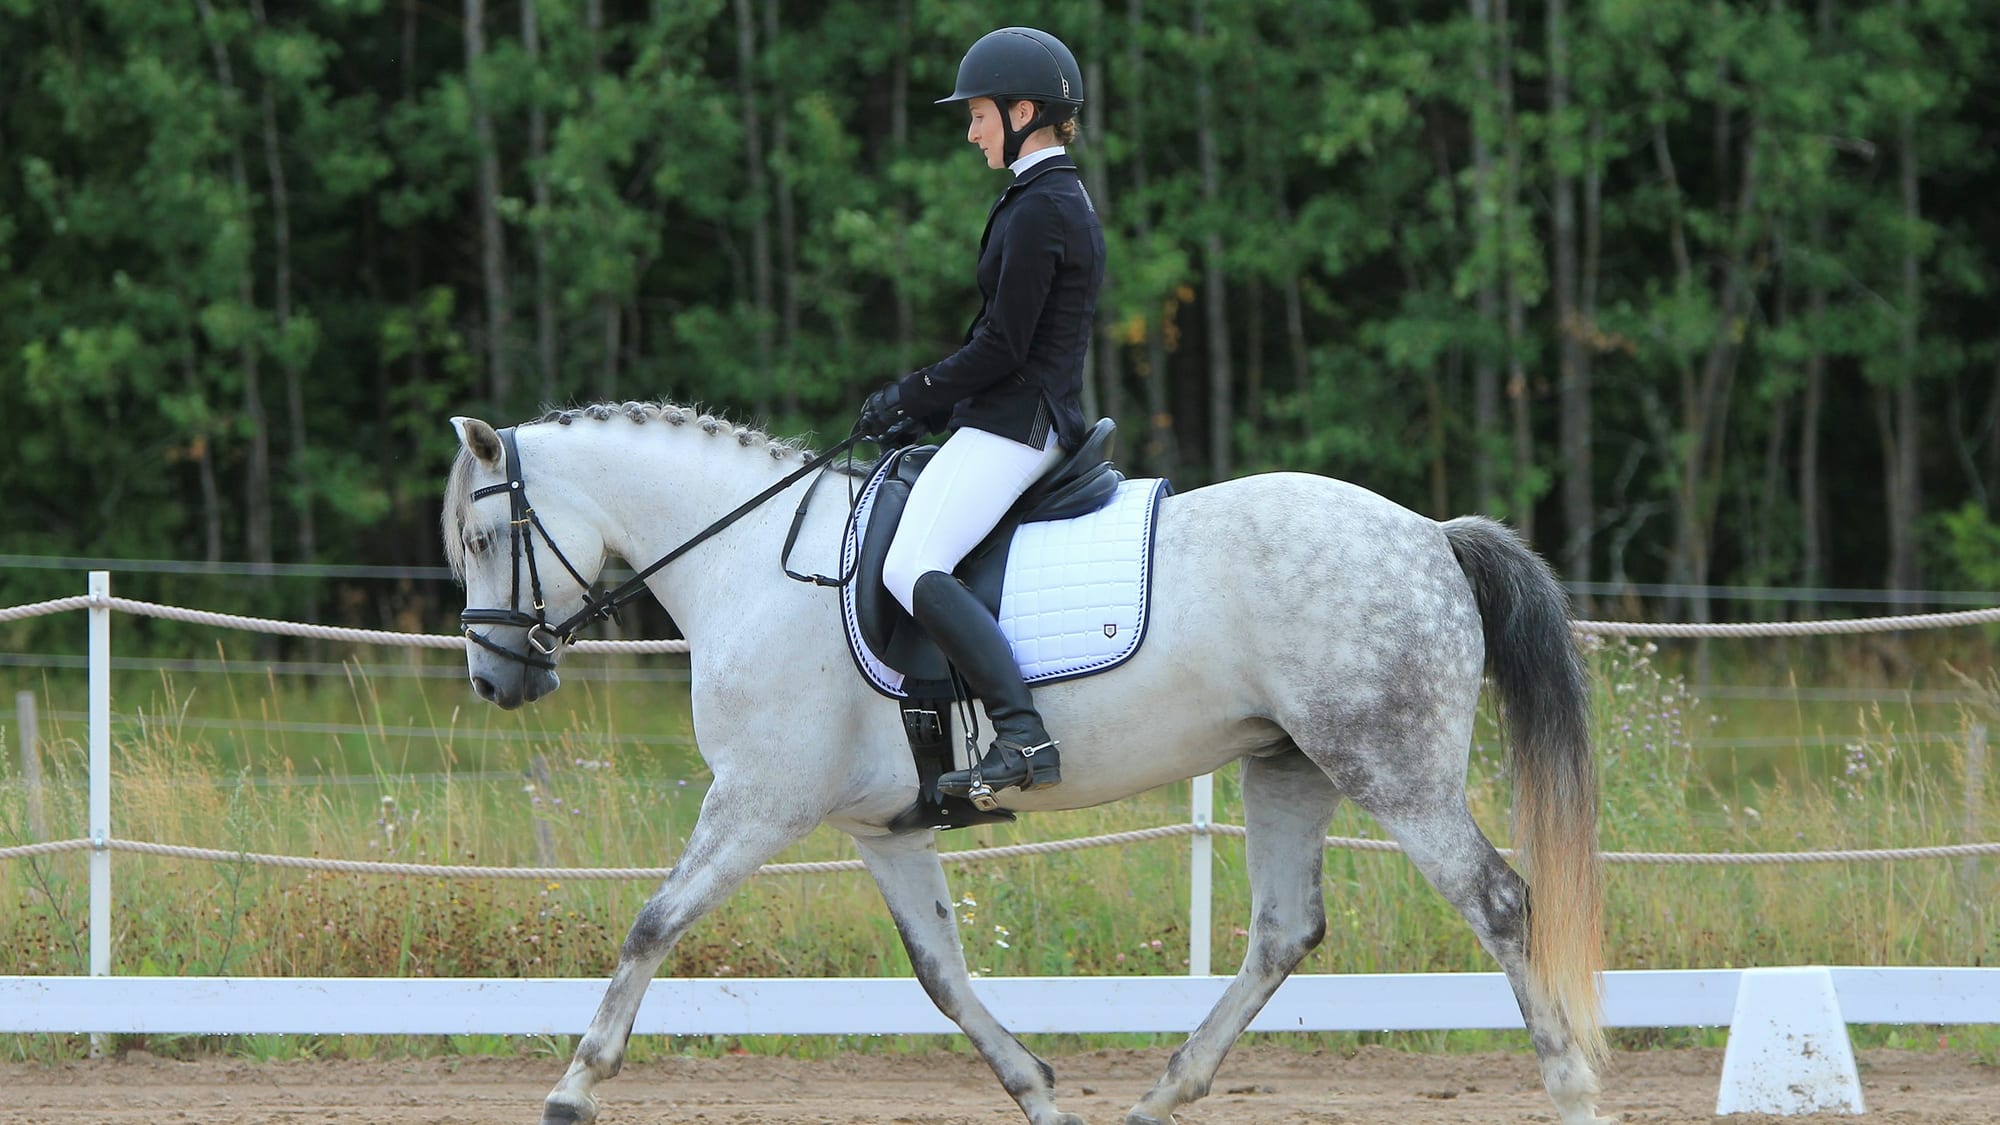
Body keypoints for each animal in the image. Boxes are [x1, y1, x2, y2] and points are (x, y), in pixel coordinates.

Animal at [440, 401, 1612, 1125]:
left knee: (1500, 903)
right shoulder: (882, 828)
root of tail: (1430, 533)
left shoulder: (758, 804)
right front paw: (1040, 1090)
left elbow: (652, 922)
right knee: (1284, 932)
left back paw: (1572, 1091)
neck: (752, 565)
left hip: (1390, 767)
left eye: (483, 539)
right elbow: (942, 975)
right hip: (1291, 766)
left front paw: (574, 1087)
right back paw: (1159, 1095)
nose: (495, 682)